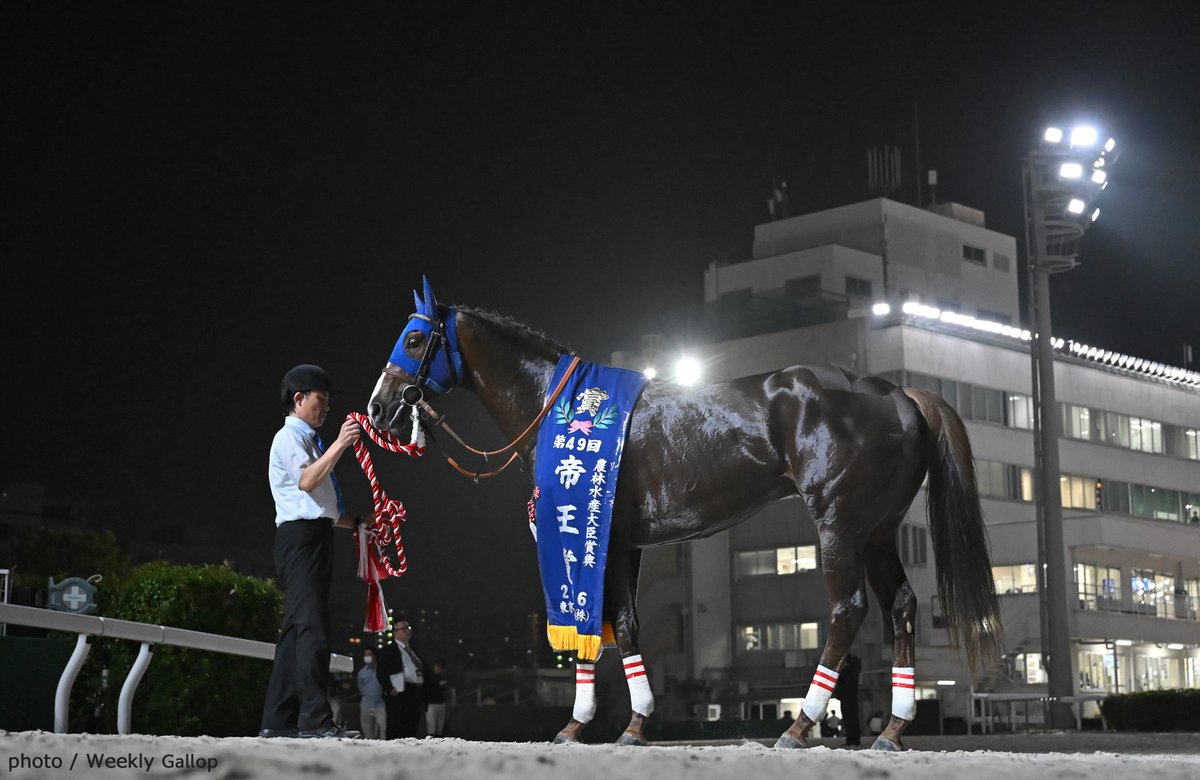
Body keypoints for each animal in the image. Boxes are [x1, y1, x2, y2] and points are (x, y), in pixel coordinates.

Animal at [368, 279, 1002, 751]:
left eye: (416, 338)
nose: (379, 408)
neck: (559, 403)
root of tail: (902, 395)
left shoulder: (588, 535)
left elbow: (593, 627)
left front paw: (585, 723)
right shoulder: (623, 542)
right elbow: (620, 627)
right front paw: (629, 722)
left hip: (838, 524)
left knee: (848, 611)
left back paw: (800, 725)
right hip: (877, 529)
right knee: (902, 606)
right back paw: (892, 728)